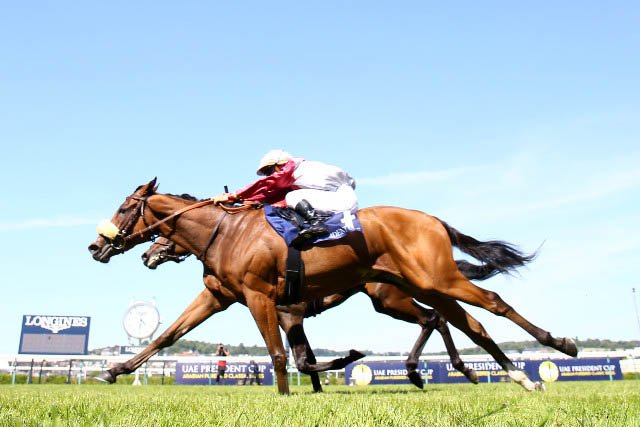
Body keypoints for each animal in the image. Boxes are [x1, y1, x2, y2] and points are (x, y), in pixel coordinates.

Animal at [140, 236, 481, 389]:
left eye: (165, 236)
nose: (146, 254)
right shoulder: (288, 317)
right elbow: (306, 358)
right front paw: (319, 388)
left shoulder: (290, 314)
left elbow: (303, 360)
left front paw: (345, 361)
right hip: (392, 300)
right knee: (438, 317)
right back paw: (456, 368)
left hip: (389, 300)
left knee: (433, 318)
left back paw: (427, 371)